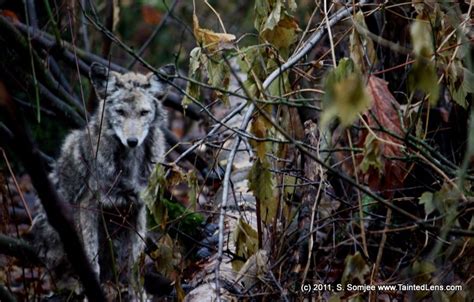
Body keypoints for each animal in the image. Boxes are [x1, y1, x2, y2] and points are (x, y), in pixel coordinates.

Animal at [30, 62, 174, 296]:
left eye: (144, 113)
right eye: (120, 112)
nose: (132, 141)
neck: (130, 164)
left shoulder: (138, 208)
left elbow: (136, 266)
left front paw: (138, 296)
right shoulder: (88, 206)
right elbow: (92, 261)